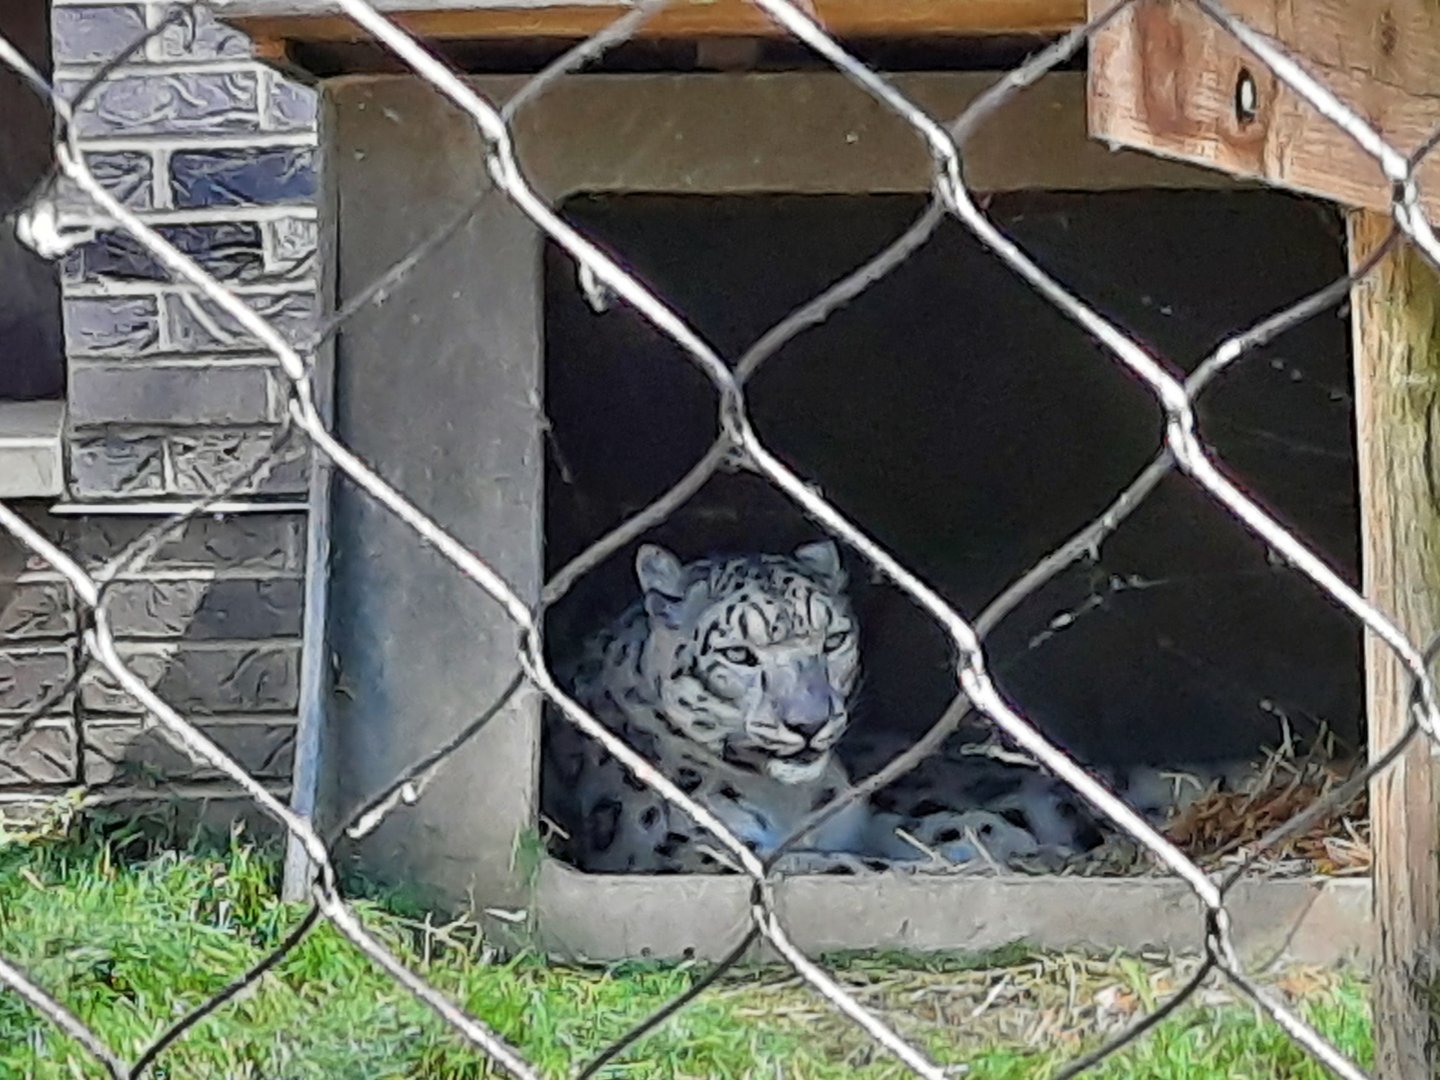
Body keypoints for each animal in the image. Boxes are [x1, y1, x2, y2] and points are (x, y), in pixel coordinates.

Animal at [540, 540, 1261, 875]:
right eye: (740, 654)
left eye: (832, 638)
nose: (808, 724)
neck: (790, 799)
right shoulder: (682, 852)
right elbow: (847, 867)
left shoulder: (863, 816)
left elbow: (929, 832)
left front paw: (996, 843)